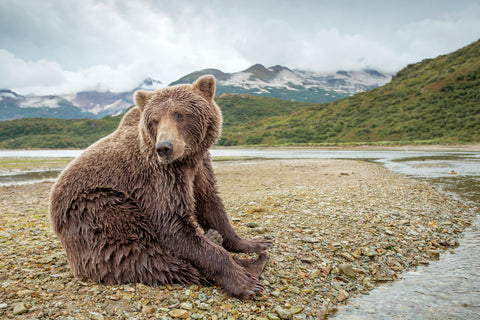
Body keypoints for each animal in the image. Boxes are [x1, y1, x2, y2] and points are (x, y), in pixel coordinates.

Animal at [51, 75, 274, 300]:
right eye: (155, 120)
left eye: (180, 114)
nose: (164, 147)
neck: (185, 159)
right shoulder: (157, 177)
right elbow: (172, 225)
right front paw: (243, 281)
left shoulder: (199, 166)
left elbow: (210, 203)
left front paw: (254, 242)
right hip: (97, 208)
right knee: (145, 256)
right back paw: (253, 265)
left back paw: (223, 241)